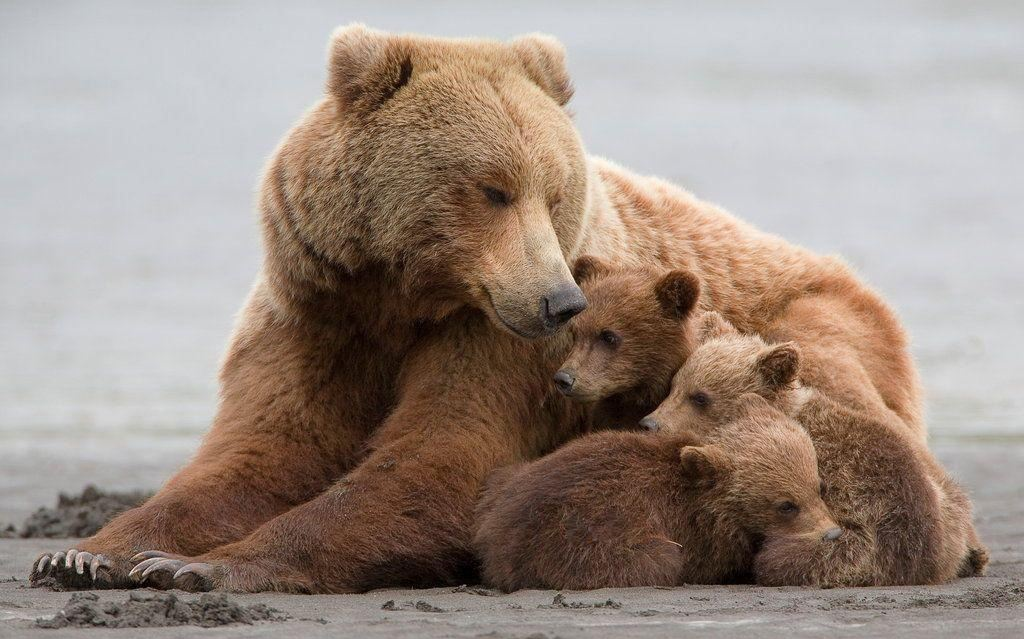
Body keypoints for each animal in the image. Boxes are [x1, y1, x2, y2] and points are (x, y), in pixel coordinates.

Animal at [29, 24, 921, 593]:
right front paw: (91, 552)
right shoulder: (314, 314)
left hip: (812, 326)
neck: (402, 299)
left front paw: (209, 565)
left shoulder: (497, 343)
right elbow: (263, 450)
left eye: (552, 190)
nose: (561, 299)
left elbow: (443, 455)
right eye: (493, 187)